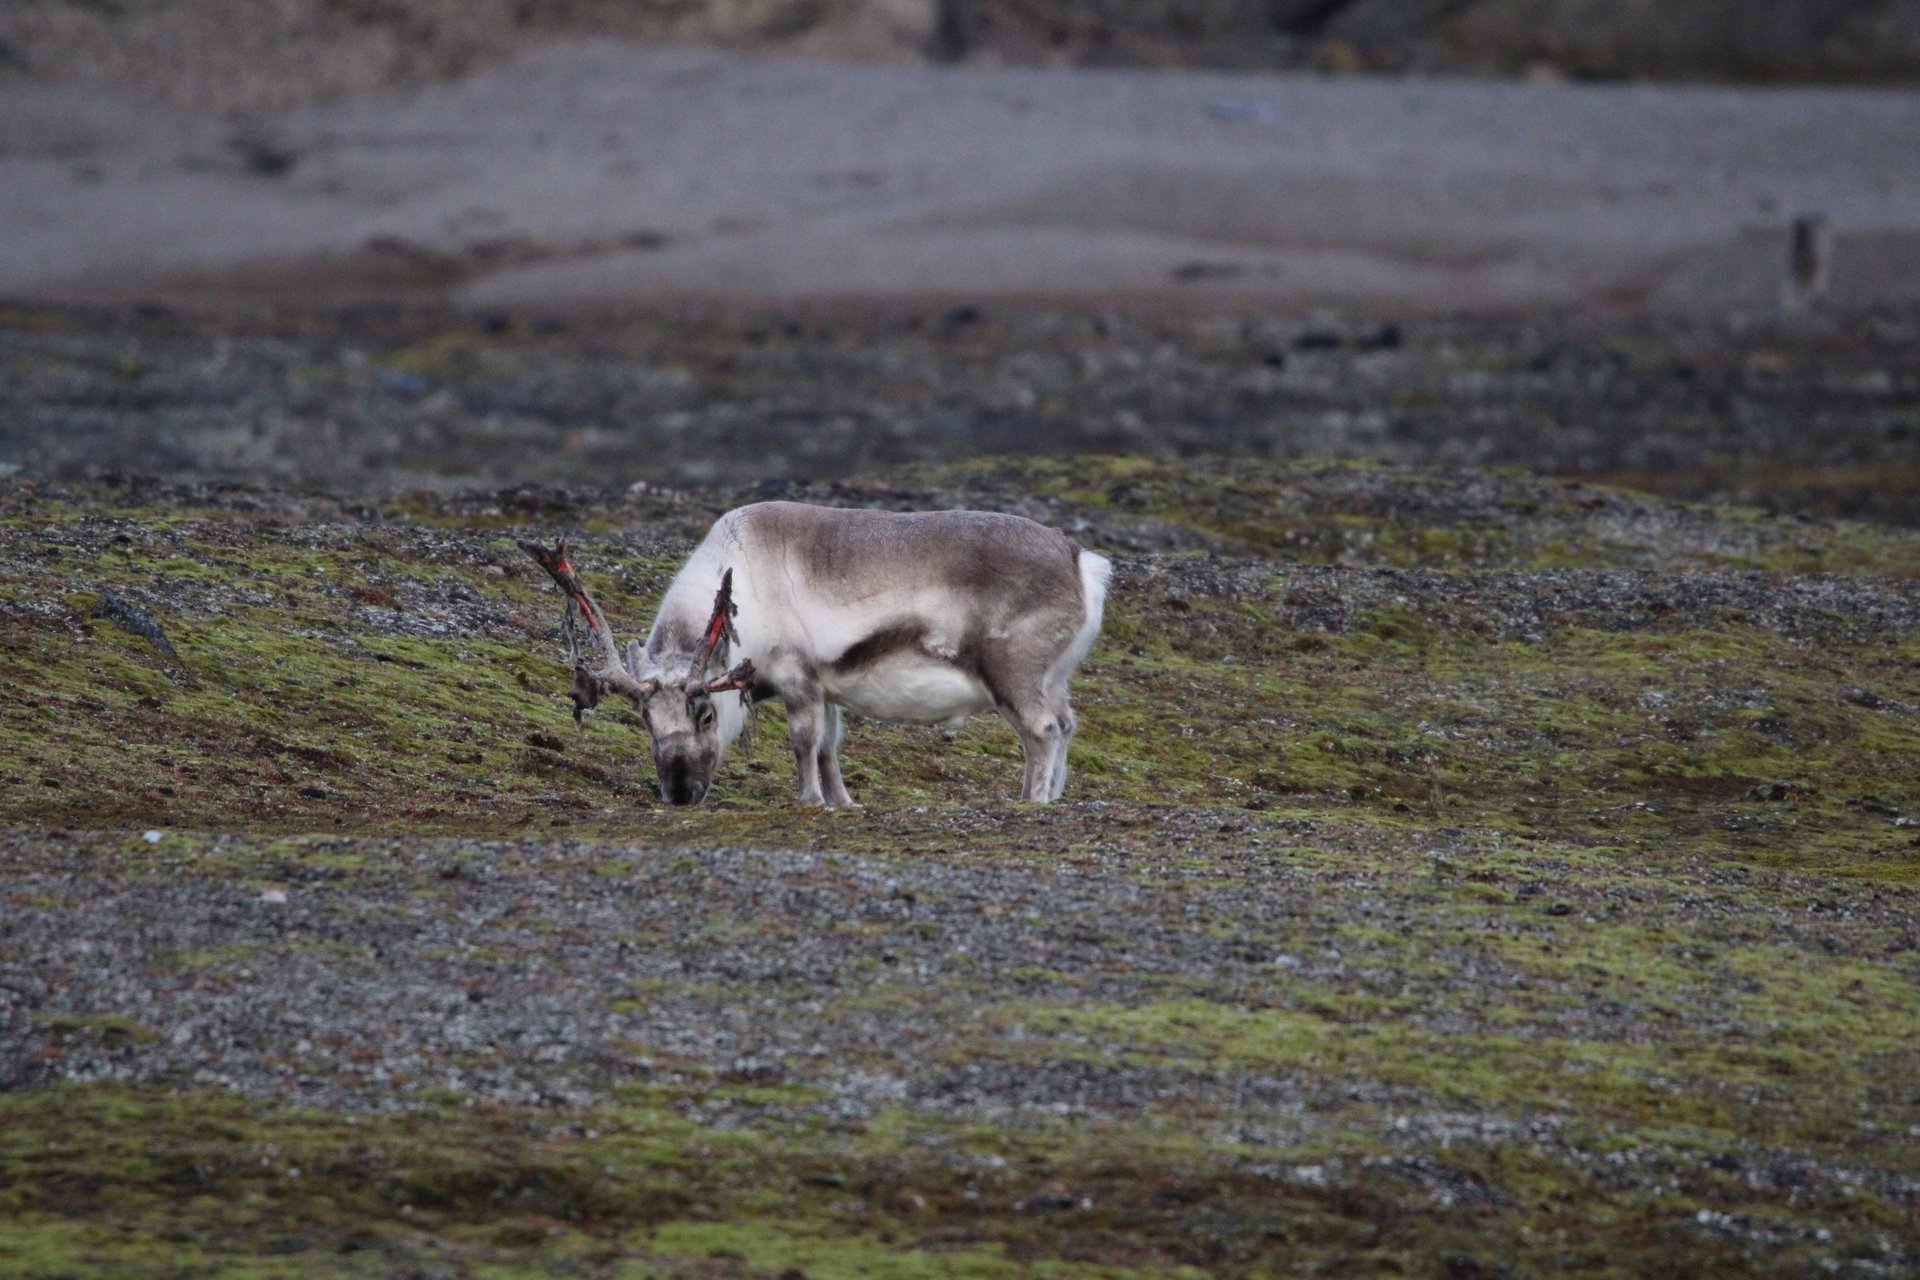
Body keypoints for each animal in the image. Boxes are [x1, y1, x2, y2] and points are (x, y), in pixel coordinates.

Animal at [518, 501, 1111, 807]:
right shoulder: (830, 687)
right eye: (644, 720)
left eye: (705, 713)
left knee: (1042, 732)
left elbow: (803, 742)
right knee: (1067, 724)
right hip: (1054, 678)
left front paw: (809, 801)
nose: (681, 794)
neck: (743, 585)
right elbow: (829, 747)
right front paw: (842, 802)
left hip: (1014, 674)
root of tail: (1082, 560)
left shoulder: (796, 674)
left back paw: (1033, 801)